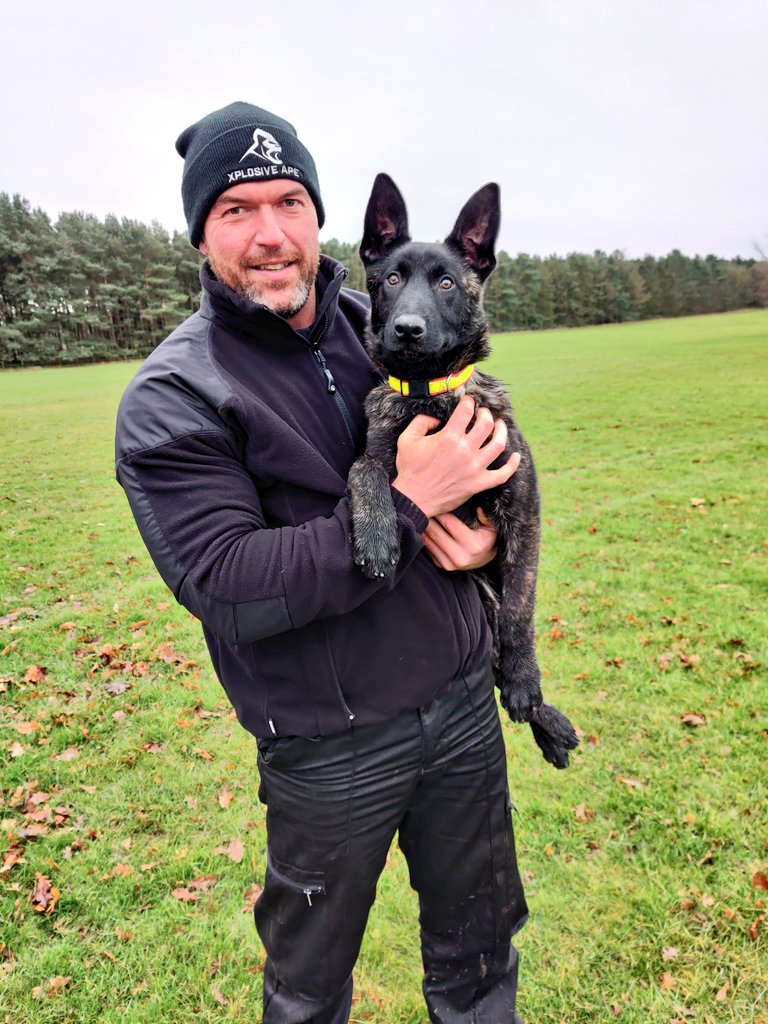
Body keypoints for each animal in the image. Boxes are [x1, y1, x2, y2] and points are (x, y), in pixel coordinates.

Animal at [348, 174, 577, 770]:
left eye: (447, 282)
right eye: (391, 279)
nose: (407, 329)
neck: (428, 395)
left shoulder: (523, 502)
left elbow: (522, 610)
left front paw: (526, 683)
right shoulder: (382, 457)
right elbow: (363, 468)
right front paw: (377, 536)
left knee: (503, 637)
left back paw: (544, 714)